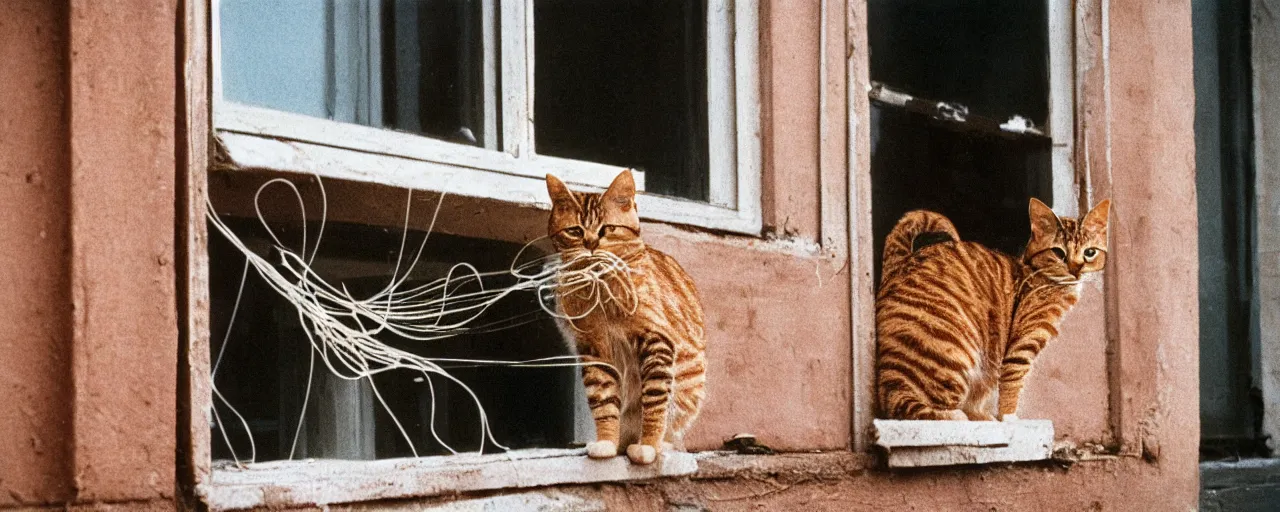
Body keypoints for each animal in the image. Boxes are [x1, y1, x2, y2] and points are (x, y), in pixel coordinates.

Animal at [545, 171, 711, 463]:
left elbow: (654, 400)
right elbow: (604, 402)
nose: (590, 244)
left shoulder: (656, 340)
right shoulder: (594, 350)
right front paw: (607, 442)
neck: (601, 289)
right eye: (575, 231)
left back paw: (657, 444)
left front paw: (649, 445)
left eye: (607, 229)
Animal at [875, 197, 1105, 419]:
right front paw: (1009, 419)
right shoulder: (1022, 345)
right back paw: (956, 416)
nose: (1075, 270)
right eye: (1058, 252)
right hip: (954, 349)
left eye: (1090, 252)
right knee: (901, 404)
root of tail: (898, 265)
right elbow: (1012, 384)